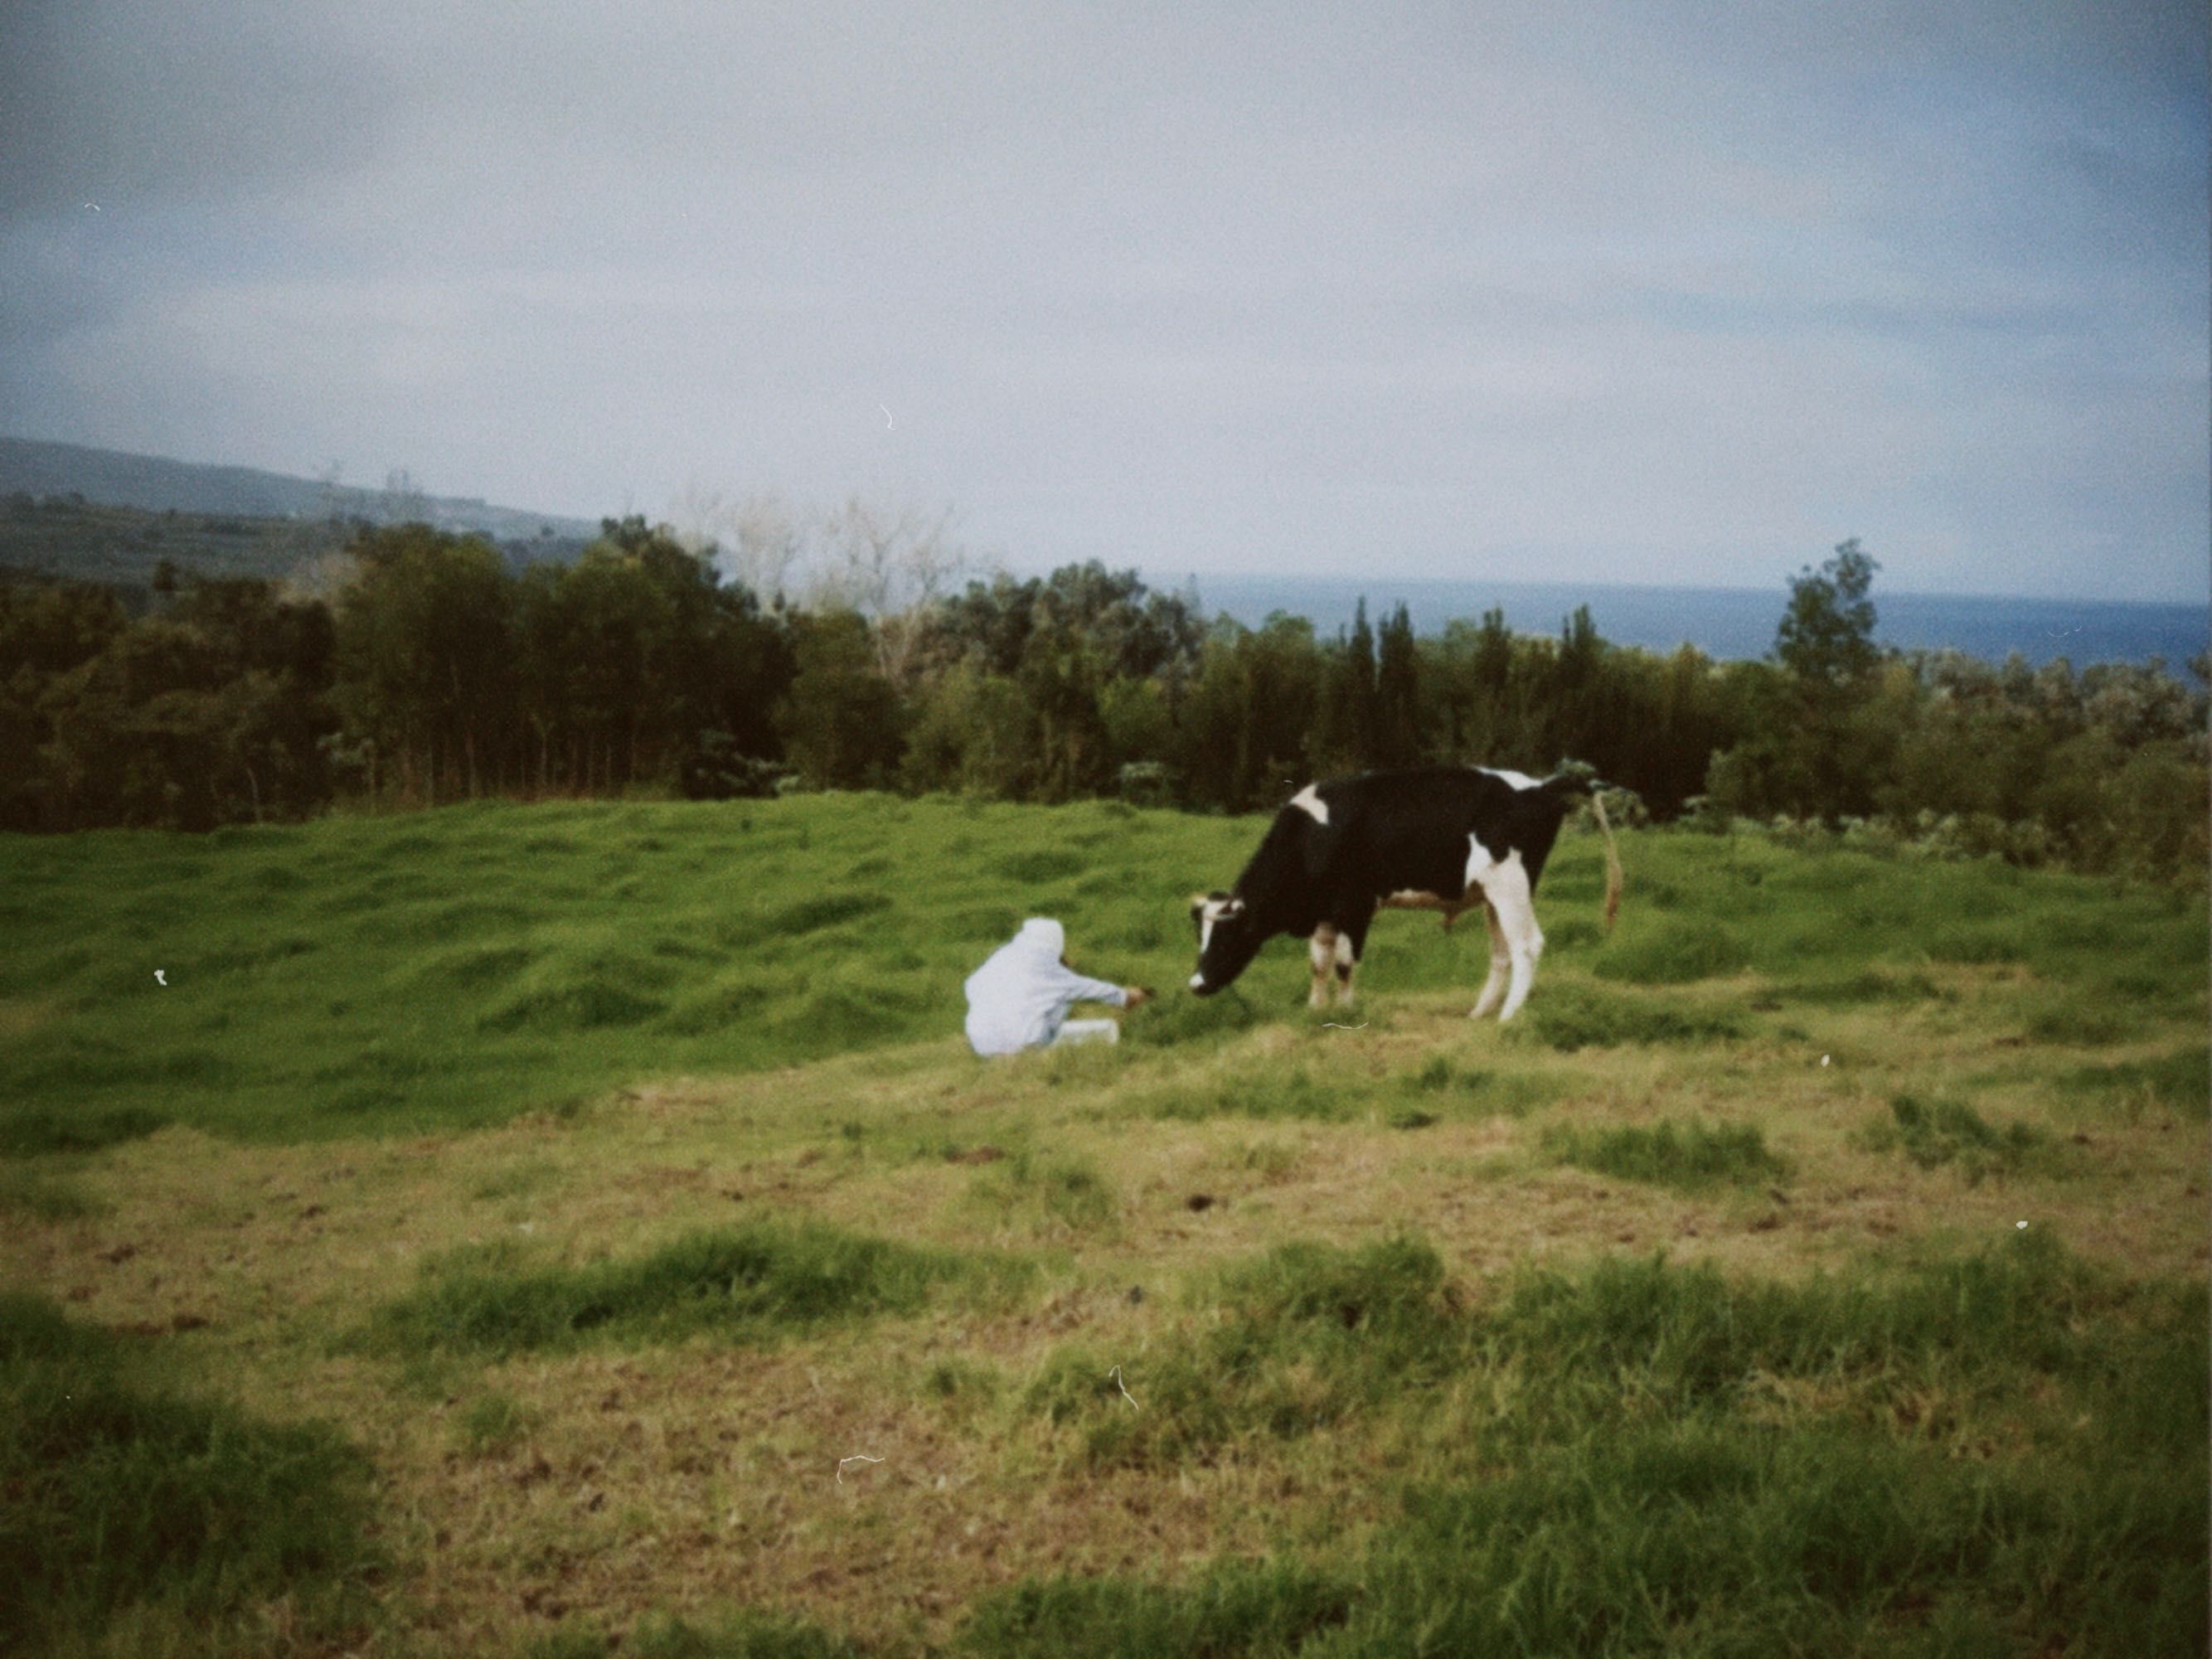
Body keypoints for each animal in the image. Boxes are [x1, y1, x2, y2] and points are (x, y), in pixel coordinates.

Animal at [1194, 769, 1627, 1026]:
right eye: (1200, 937)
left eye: (1227, 938)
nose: (1195, 984)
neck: (1314, 835)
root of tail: (1540, 785)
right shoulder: (1325, 913)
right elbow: (1319, 963)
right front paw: (1316, 1011)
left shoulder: (1356, 905)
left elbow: (1344, 964)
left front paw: (1347, 1010)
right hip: (1493, 894)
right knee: (1502, 953)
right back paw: (1479, 1012)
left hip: (1510, 884)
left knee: (1527, 945)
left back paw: (1506, 1018)